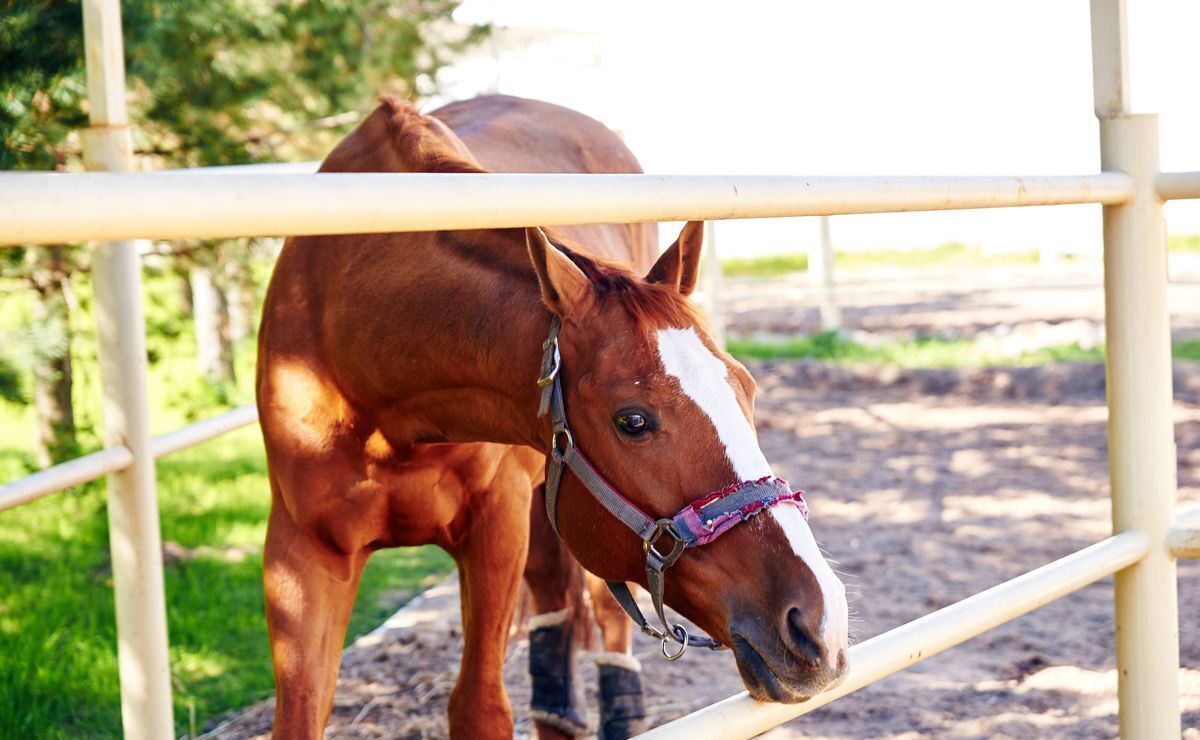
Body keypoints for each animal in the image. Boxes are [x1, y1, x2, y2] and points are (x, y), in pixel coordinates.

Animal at [258, 95, 849, 734]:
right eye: (632, 421)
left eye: (747, 388)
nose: (818, 624)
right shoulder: (301, 555)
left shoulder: (498, 523)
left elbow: (481, 706)